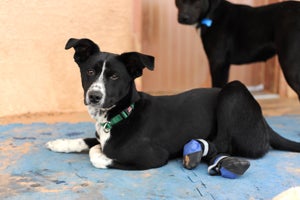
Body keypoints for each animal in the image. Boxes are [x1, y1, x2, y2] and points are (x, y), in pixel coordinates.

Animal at [46, 38, 300, 177]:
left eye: (115, 76)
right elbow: (88, 140)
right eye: (90, 72)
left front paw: (98, 151)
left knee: (224, 144)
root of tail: (263, 120)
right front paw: (60, 143)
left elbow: (98, 155)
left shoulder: (153, 157)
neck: (123, 113)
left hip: (233, 90)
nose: (94, 96)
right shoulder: (101, 134)